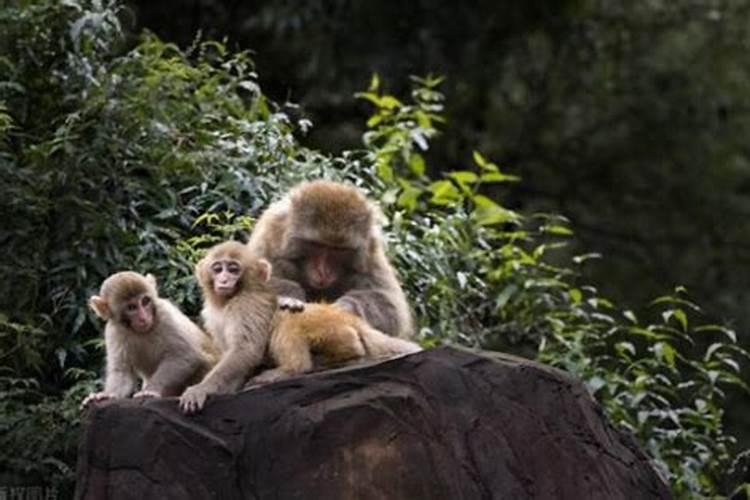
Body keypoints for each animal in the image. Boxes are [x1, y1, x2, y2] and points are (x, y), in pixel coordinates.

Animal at [81, 272, 216, 408]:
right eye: (131, 307)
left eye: (145, 301)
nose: (143, 317)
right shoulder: (113, 331)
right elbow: (122, 371)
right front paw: (107, 395)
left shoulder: (165, 314)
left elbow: (185, 355)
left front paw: (150, 390)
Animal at [179, 241, 280, 414]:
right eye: (218, 269)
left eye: (233, 269)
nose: (224, 280)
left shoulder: (246, 304)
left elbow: (245, 349)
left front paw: (202, 388)